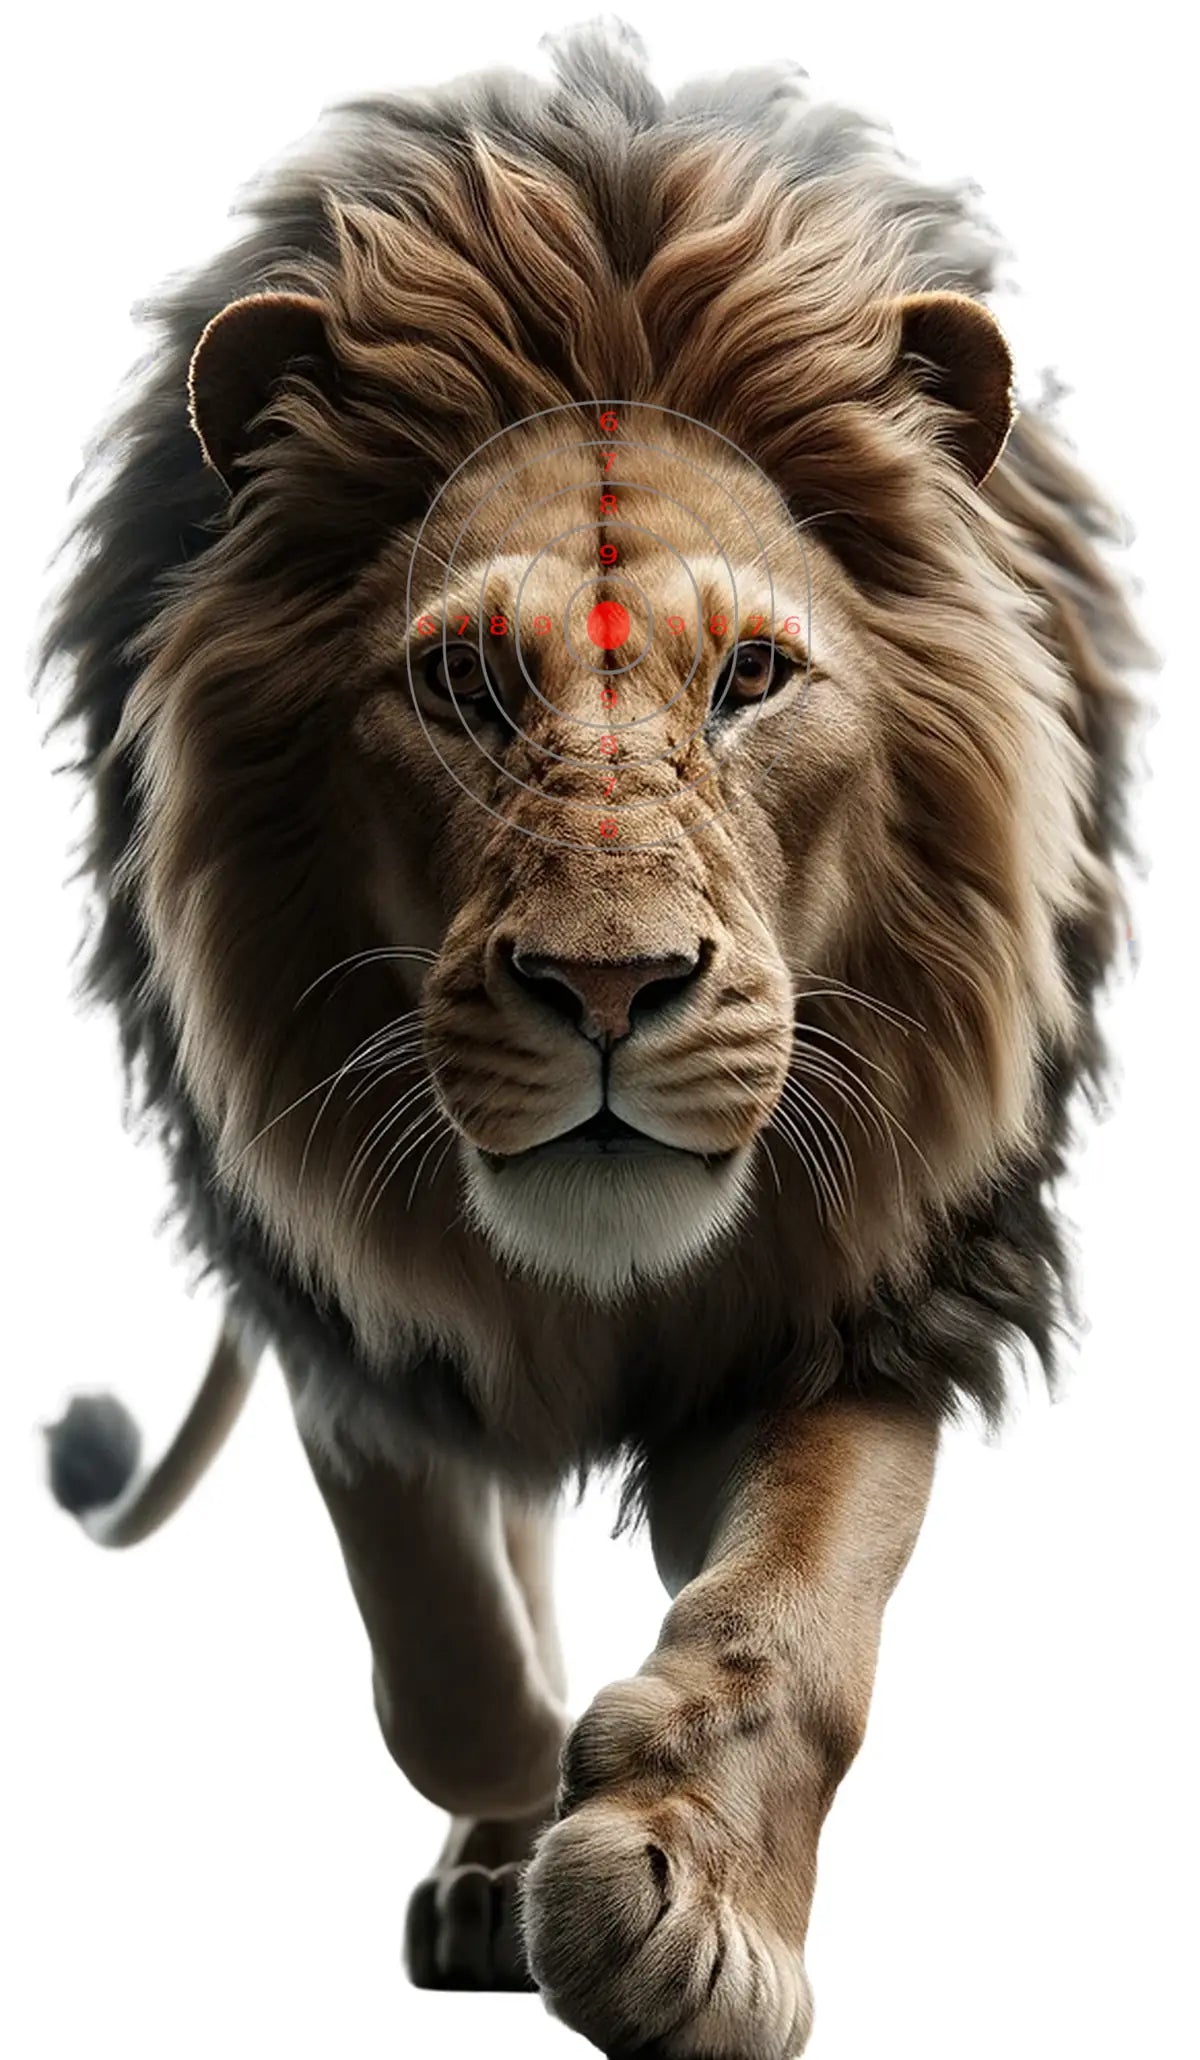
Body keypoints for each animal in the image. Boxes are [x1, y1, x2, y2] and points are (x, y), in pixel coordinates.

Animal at [40, 21, 1147, 2056]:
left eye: (756, 676)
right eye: (463, 685)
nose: (615, 989)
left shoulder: (876, 1284)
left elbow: (797, 1617)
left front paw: (684, 1910)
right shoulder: (340, 1287)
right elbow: (433, 1625)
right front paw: (525, 1790)